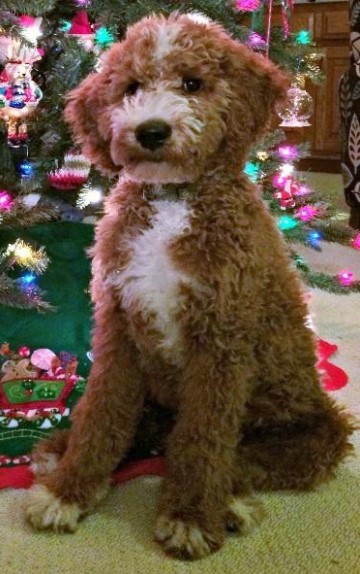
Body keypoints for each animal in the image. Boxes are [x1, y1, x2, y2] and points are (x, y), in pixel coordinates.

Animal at [25, 12, 354, 564]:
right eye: (132, 88)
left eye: (193, 84)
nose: (151, 131)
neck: (172, 199)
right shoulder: (119, 327)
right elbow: (102, 412)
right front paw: (70, 489)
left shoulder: (220, 342)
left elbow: (204, 437)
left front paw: (190, 517)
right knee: (149, 427)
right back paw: (59, 450)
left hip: (314, 431)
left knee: (241, 457)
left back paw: (230, 502)